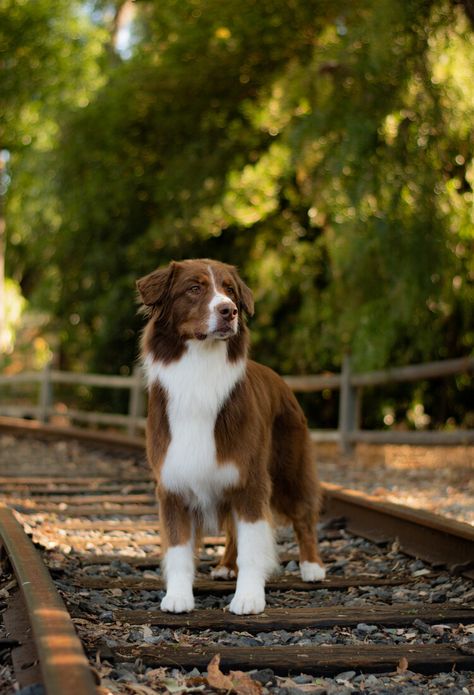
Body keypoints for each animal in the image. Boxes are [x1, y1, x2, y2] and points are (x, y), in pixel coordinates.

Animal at [135, 260, 324, 616]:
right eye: (194, 288)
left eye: (230, 290)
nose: (229, 310)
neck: (200, 367)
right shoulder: (172, 483)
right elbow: (178, 548)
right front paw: (178, 596)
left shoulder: (250, 479)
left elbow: (253, 546)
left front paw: (249, 598)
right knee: (234, 530)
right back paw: (225, 566)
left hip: (288, 468)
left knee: (303, 515)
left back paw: (312, 567)